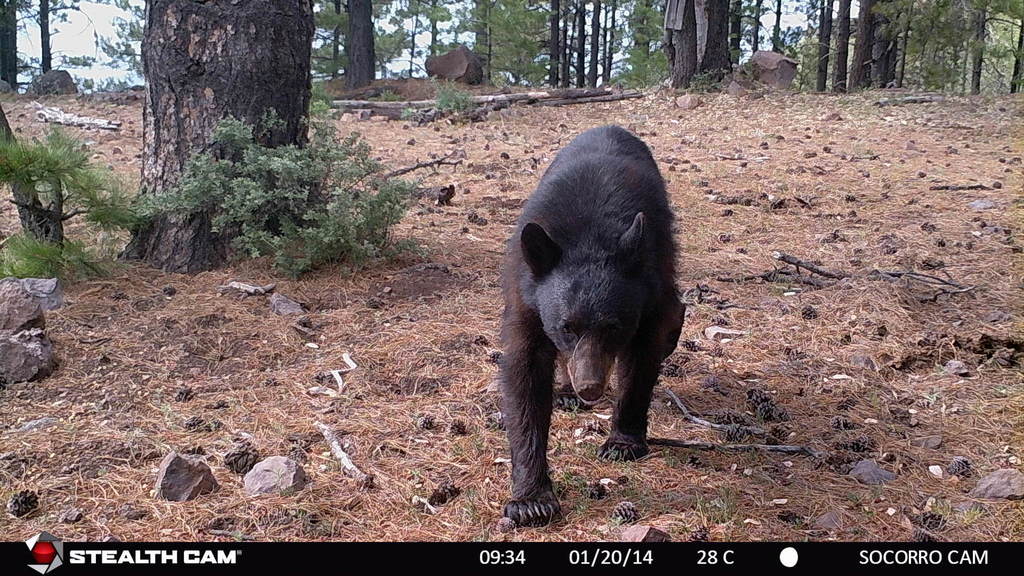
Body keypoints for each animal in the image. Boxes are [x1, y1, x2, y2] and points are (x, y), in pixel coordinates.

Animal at [499, 125, 684, 526]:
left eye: (613, 327)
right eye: (566, 327)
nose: (591, 387)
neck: (590, 237)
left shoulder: (650, 278)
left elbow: (641, 357)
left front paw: (622, 442)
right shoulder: (527, 293)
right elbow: (525, 373)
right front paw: (531, 500)